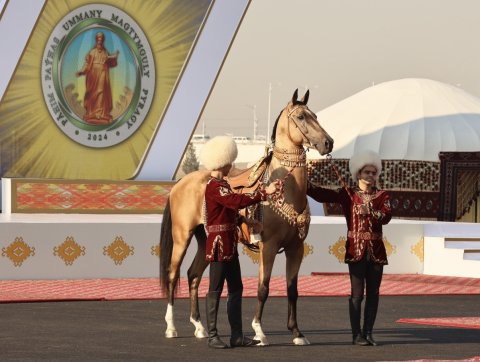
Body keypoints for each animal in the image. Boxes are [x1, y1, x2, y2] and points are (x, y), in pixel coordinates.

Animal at [159, 90, 332, 346]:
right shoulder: (268, 247)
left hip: (204, 240)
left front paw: (297, 333)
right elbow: (263, 288)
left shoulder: (296, 248)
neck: (287, 190)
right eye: (301, 116)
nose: (328, 142)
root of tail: (180, 183)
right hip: (182, 236)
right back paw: (171, 327)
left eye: (315, 115)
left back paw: (199, 327)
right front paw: (259, 331)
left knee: (193, 275)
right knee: (172, 275)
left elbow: (292, 290)